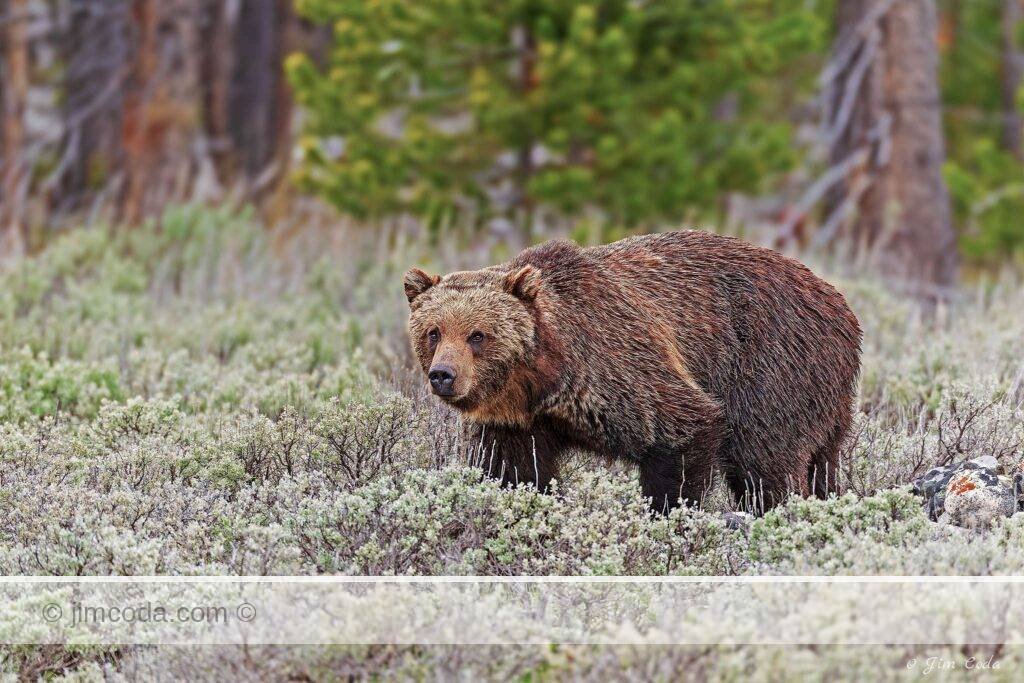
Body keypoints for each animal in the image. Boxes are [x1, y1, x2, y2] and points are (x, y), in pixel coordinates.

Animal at [404, 230, 862, 513]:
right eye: (434, 331)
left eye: (477, 335)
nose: (443, 375)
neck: (543, 378)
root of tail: (841, 304)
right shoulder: (516, 420)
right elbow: (513, 470)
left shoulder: (618, 365)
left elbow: (682, 432)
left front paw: (667, 513)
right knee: (822, 464)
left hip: (772, 368)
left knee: (765, 461)